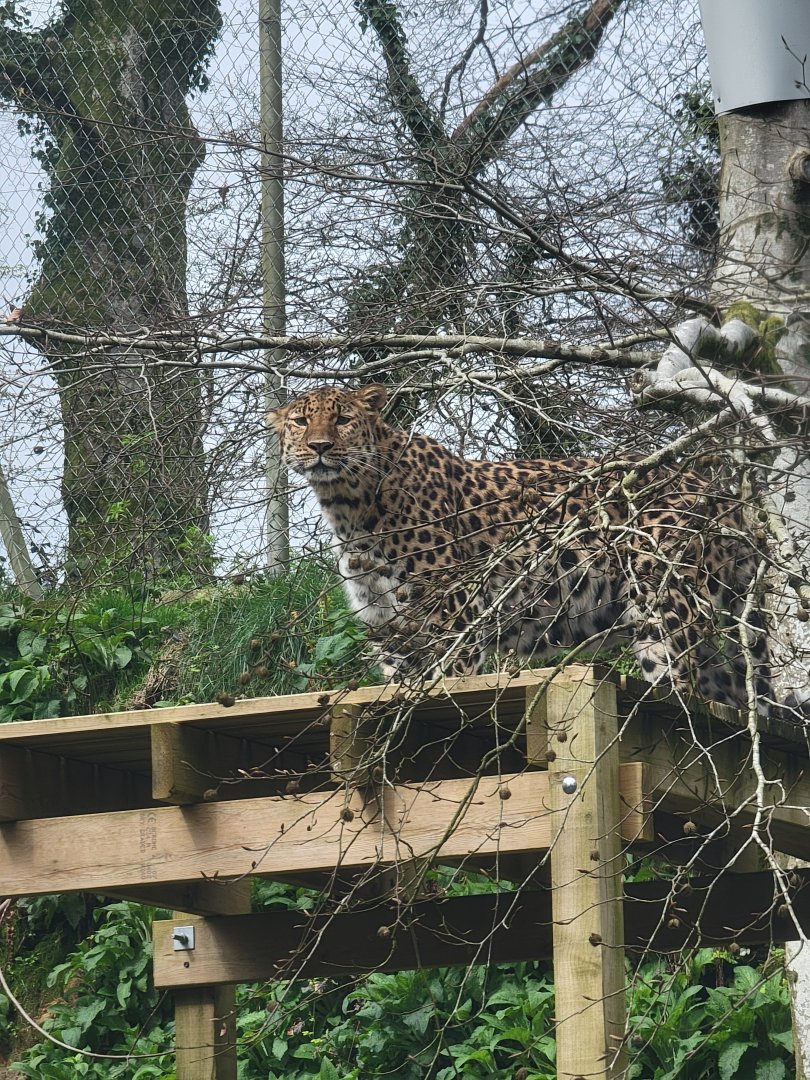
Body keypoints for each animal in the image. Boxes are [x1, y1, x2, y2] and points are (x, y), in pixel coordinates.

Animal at [270, 382, 776, 713]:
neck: (348, 509)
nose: (319, 445)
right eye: (301, 421)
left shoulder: (453, 622)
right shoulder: (390, 634)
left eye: (342, 419)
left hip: (666, 610)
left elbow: (446, 688)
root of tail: (719, 493)